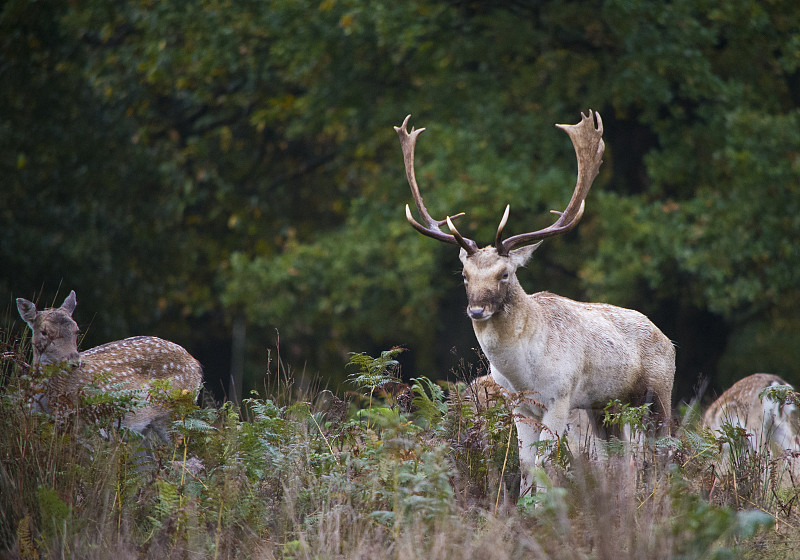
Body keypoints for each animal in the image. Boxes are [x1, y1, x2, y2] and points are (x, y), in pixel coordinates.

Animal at [16, 290, 203, 440]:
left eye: (77, 331)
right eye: (44, 332)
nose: (74, 362)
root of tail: (196, 363)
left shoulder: (84, 427)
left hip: (174, 416)